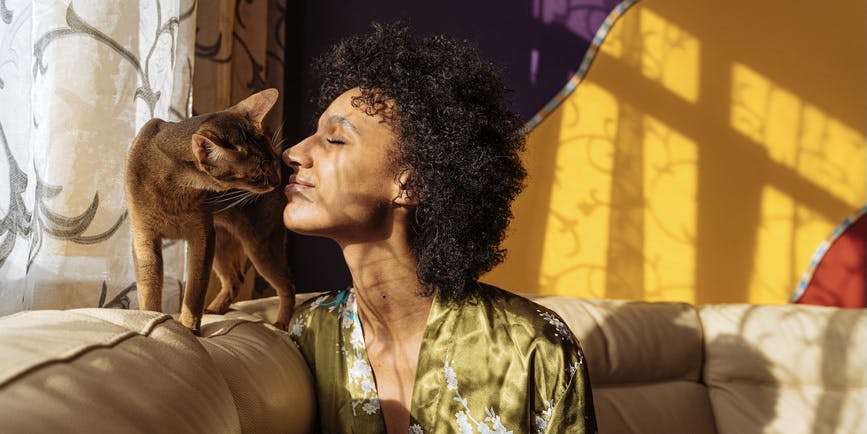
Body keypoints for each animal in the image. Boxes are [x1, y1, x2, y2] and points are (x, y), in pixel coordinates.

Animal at [124, 87, 296, 332]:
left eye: (273, 160)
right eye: (258, 174)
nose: (275, 180)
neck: (174, 186)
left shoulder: (202, 236)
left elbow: (195, 289)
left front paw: (189, 329)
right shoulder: (144, 237)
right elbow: (149, 285)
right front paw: (152, 318)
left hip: (260, 246)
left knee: (288, 285)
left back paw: (281, 323)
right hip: (223, 243)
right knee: (235, 280)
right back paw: (215, 310)